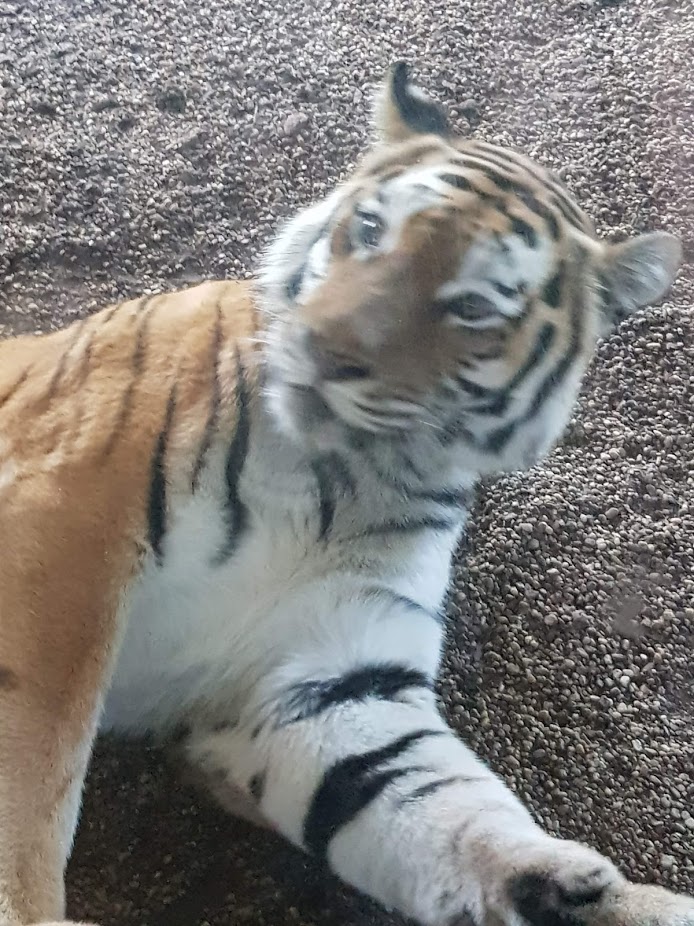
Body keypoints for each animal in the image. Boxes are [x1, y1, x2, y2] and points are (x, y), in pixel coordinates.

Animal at [0, 61, 690, 926]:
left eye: (473, 306)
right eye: (368, 231)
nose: (323, 350)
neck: (339, 476)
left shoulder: (322, 680)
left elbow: (434, 806)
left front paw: (599, 897)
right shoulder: (65, 522)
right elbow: (34, 788)